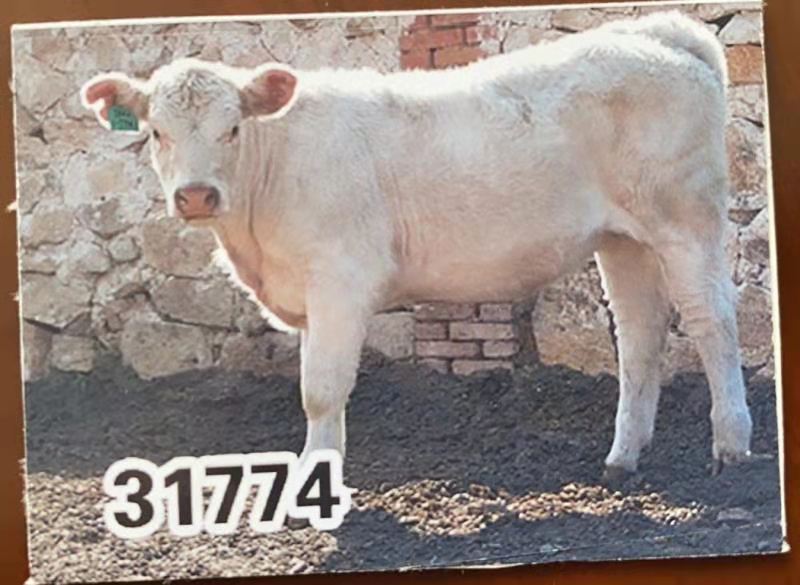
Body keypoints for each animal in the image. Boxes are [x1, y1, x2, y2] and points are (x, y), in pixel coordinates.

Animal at [81, 11, 753, 480]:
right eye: (157, 132)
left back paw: (731, 447)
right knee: (640, 335)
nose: (196, 196)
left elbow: (320, 389)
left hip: (684, 220)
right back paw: (622, 457)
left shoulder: (340, 279)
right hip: (621, 238)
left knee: (713, 321)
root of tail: (657, 33)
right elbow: (316, 390)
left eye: (232, 128)